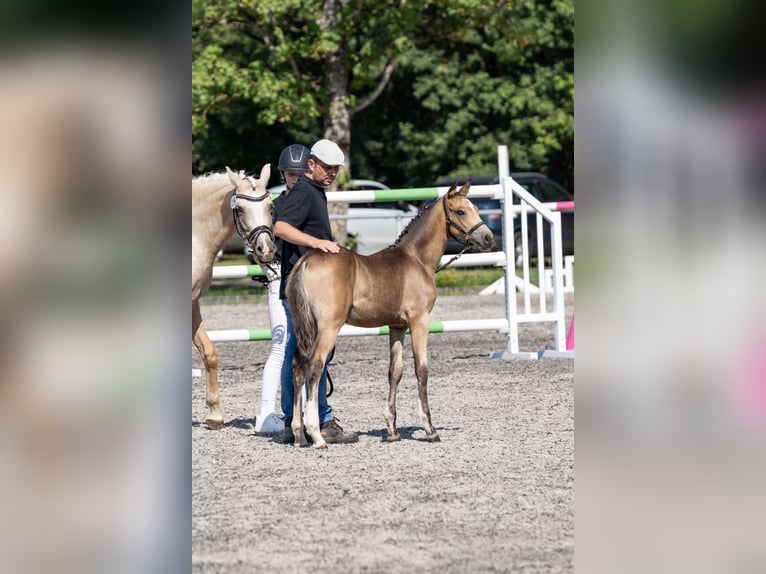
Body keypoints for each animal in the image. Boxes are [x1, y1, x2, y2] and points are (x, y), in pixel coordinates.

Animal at [192, 165, 276, 429]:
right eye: (239, 209)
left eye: (271, 206)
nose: (265, 250)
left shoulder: (192, 303)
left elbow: (209, 353)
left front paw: (214, 415)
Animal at [286, 181, 494, 448]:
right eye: (460, 211)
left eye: (476, 208)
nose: (488, 238)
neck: (416, 259)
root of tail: (306, 261)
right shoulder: (419, 321)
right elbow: (421, 370)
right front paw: (430, 429)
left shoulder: (397, 326)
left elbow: (394, 372)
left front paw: (392, 430)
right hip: (328, 328)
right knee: (314, 366)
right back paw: (316, 435)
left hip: (306, 326)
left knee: (297, 368)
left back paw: (298, 435)